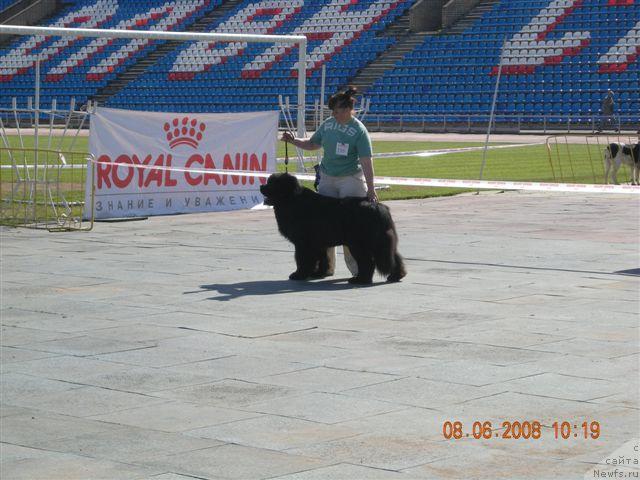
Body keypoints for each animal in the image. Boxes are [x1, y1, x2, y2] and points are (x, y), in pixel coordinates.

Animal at [258, 173, 404, 284]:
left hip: (359, 243)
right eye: (269, 181)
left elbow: (302, 259)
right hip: (382, 241)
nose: (261, 186)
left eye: (273, 184)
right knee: (395, 257)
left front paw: (298, 275)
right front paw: (319, 273)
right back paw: (395, 276)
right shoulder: (318, 243)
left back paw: (360, 280)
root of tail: (378, 207)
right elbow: (323, 258)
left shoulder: (303, 243)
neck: (292, 200)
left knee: (367, 261)